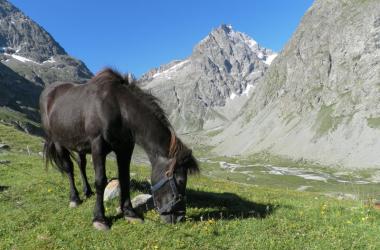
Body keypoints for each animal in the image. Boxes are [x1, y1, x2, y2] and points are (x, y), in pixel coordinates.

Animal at [39, 67, 199, 229]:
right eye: (180, 181)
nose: (179, 217)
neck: (119, 109)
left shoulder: (125, 148)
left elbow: (124, 177)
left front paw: (129, 212)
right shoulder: (98, 145)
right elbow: (100, 181)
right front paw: (99, 218)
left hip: (80, 146)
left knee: (81, 165)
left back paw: (87, 191)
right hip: (59, 142)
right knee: (69, 168)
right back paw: (74, 198)